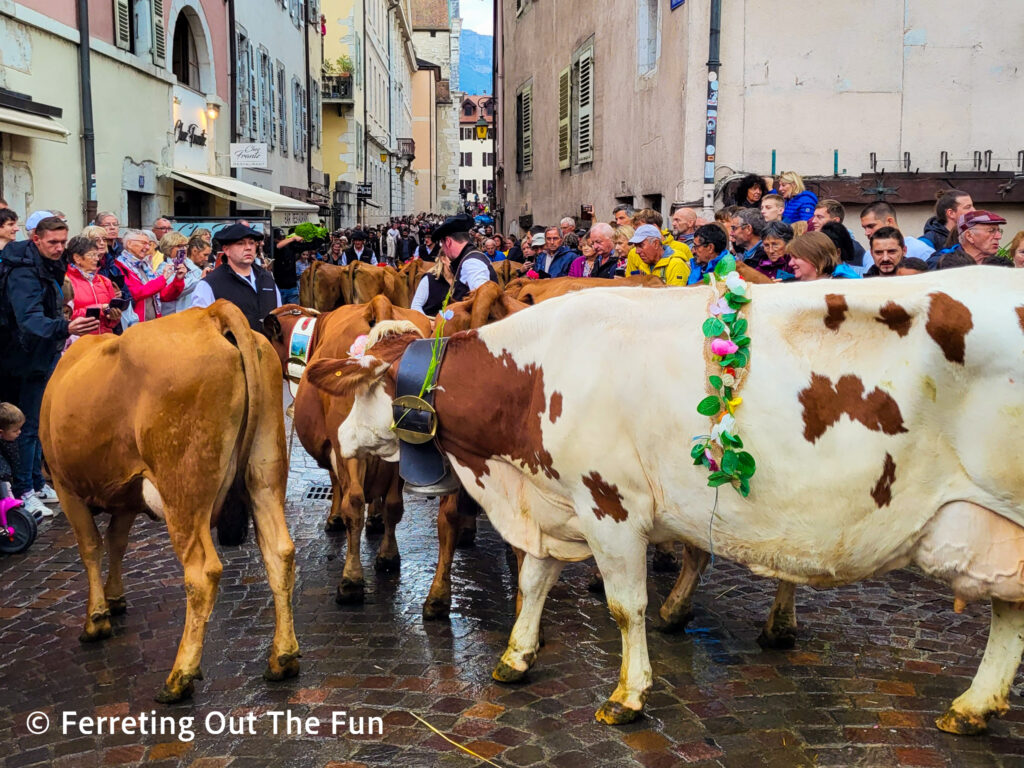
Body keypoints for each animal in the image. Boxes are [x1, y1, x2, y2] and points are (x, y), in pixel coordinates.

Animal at [41, 301, 299, 704]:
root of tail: (209, 313)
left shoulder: (68, 488)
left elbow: (90, 547)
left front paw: (96, 618)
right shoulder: (126, 497)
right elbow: (117, 543)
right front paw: (115, 599)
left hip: (184, 492)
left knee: (202, 572)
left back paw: (179, 677)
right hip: (265, 473)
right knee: (279, 552)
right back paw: (282, 658)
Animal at [305, 260, 1024, 741]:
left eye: (362, 388)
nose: (341, 440)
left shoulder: (609, 505)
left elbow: (626, 607)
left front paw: (629, 695)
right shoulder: (555, 501)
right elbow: (534, 580)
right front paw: (515, 657)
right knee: (1010, 610)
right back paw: (972, 706)